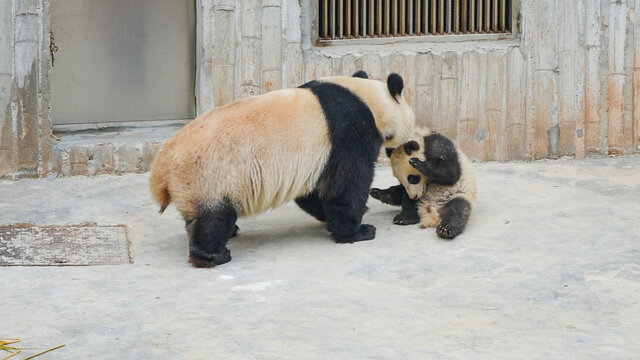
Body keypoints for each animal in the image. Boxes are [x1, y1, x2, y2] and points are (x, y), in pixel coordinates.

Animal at [152, 71, 418, 266]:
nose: (408, 145)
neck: (368, 98)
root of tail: (162, 167)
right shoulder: (348, 131)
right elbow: (345, 182)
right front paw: (357, 230)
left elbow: (314, 190)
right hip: (210, 175)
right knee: (213, 218)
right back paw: (213, 255)